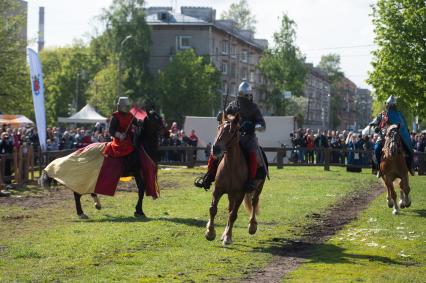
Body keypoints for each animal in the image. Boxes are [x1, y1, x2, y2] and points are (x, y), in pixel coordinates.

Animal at [204, 113, 266, 246]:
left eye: (232, 131)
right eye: (219, 127)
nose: (215, 148)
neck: (231, 166)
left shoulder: (239, 194)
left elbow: (233, 215)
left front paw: (227, 237)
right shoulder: (218, 190)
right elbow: (213, 209)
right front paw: (210, 232)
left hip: (258, 188)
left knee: (254, 202)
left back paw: (252, 226)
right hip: (230, 194)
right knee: (230, 208)